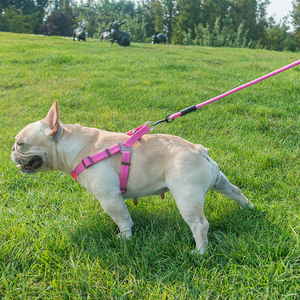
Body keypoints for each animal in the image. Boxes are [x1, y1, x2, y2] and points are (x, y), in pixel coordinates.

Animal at [10, 102, 253, 254]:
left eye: (20, 143)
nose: (11, 150)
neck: (74, 146)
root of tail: (199, 151)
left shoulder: (110, 198)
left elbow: (123, 219)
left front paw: (125, 239)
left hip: (186, 196)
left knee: (200, 224)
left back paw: (200, 252)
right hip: (220, 181)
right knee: (236, 191)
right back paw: (249, 209)